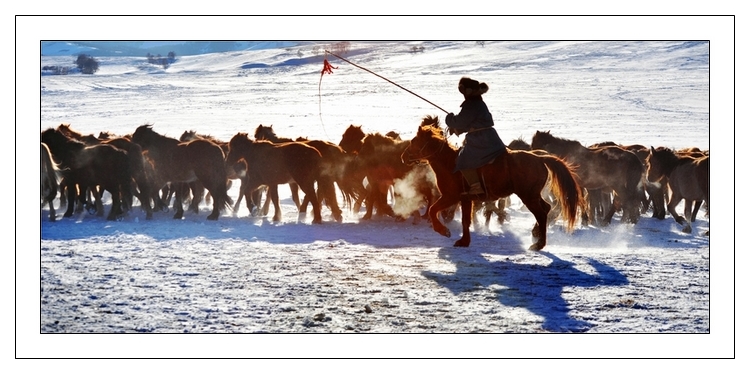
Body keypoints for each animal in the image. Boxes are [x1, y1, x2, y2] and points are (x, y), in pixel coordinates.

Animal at [406, 118, 588, 250]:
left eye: (415, 141)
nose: (403, 156)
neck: (450, 164)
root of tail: (539, 158)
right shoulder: (465, 199)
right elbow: (465, 220)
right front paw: (464, 241)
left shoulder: (451, 196)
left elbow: (432, 210)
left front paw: (444, 231)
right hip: (533, 195)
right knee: (546, 208)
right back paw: (536, 234)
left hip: (528, 196)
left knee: (541, 213)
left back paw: (538, 244)